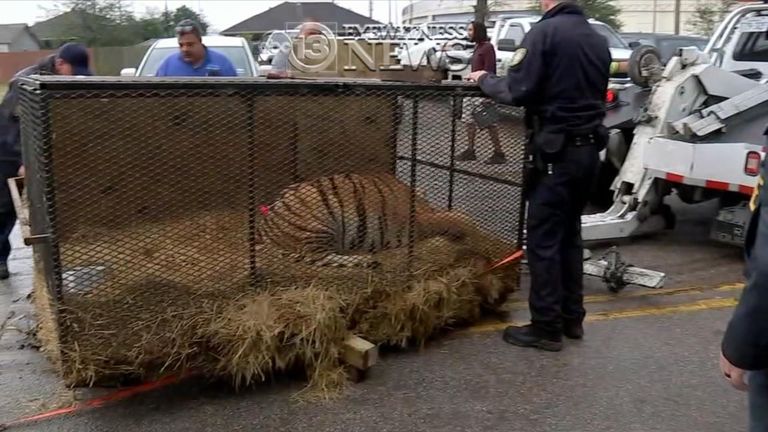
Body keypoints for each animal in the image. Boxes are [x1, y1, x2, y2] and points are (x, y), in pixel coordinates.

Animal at [255, 171, 476, 266]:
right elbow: (454, 217)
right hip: (319, 223)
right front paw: (467, 228)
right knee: (315, 257)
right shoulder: (421, 222)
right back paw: (365, 259)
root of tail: (264, 228)